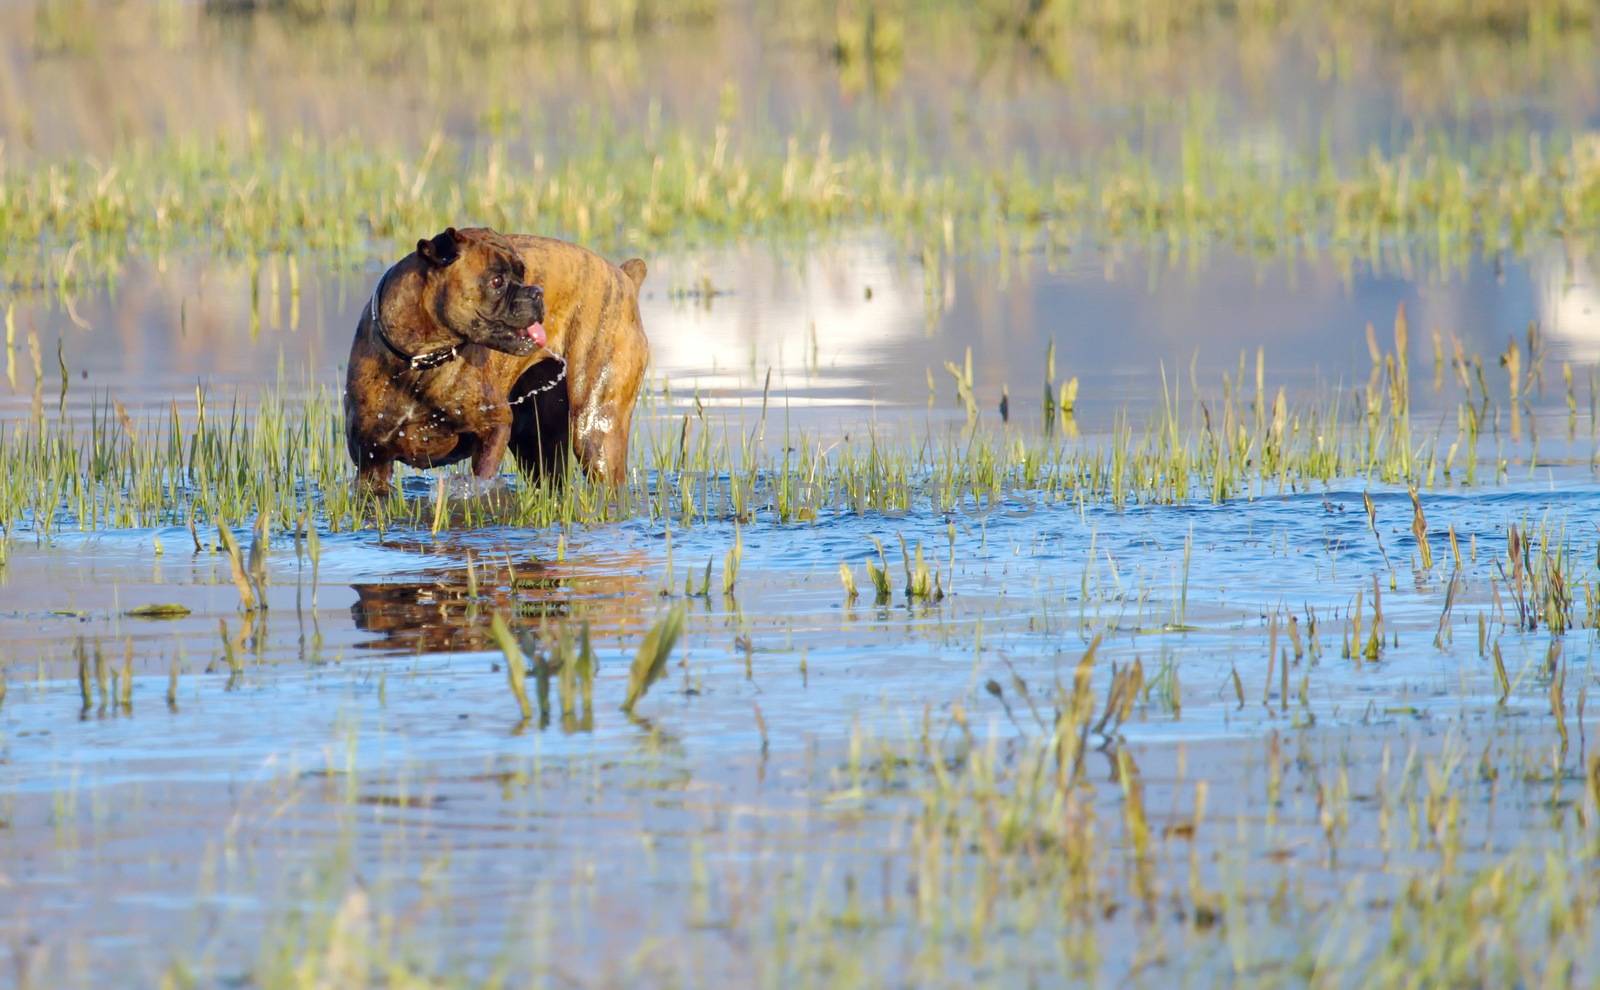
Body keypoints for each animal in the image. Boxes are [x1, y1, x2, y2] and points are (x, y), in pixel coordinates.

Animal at [345, 230, 649, 495]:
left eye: (523, 273)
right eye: (496, 281)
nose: (536, 292)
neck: (419, 361)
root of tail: (624, 275)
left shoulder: (495, 425)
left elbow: (482, 475)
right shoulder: (372, 463)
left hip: (595, 430)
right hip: (537, 441)